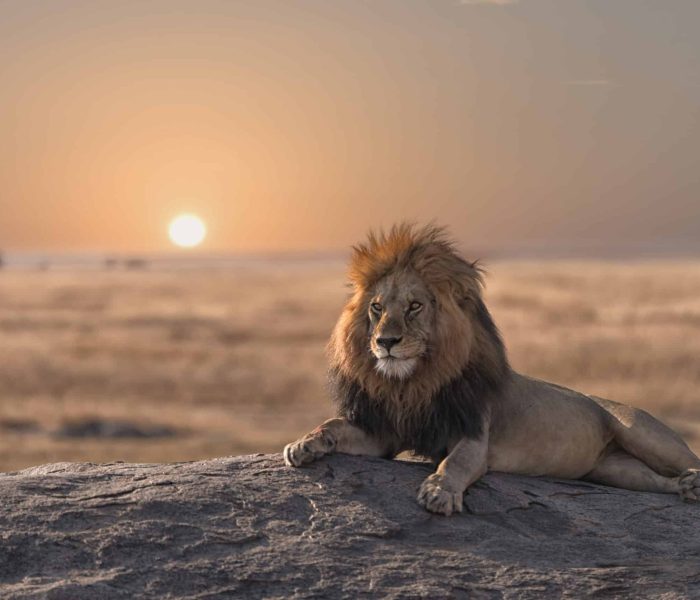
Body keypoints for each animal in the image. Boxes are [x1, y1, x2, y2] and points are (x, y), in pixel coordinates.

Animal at [283, 223, 700, 516]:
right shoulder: (385, 433)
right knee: (655, 481)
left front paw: (439, 492)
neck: (414, 383)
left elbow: (454, 463)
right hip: (612, 469)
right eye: (377, 308)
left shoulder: (472, 435)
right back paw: (685, 488)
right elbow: (334, 426)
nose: (386, 341)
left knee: (683, 459)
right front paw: (303, 444)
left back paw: (693, 481)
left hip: (643, 433)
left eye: (415, 306)